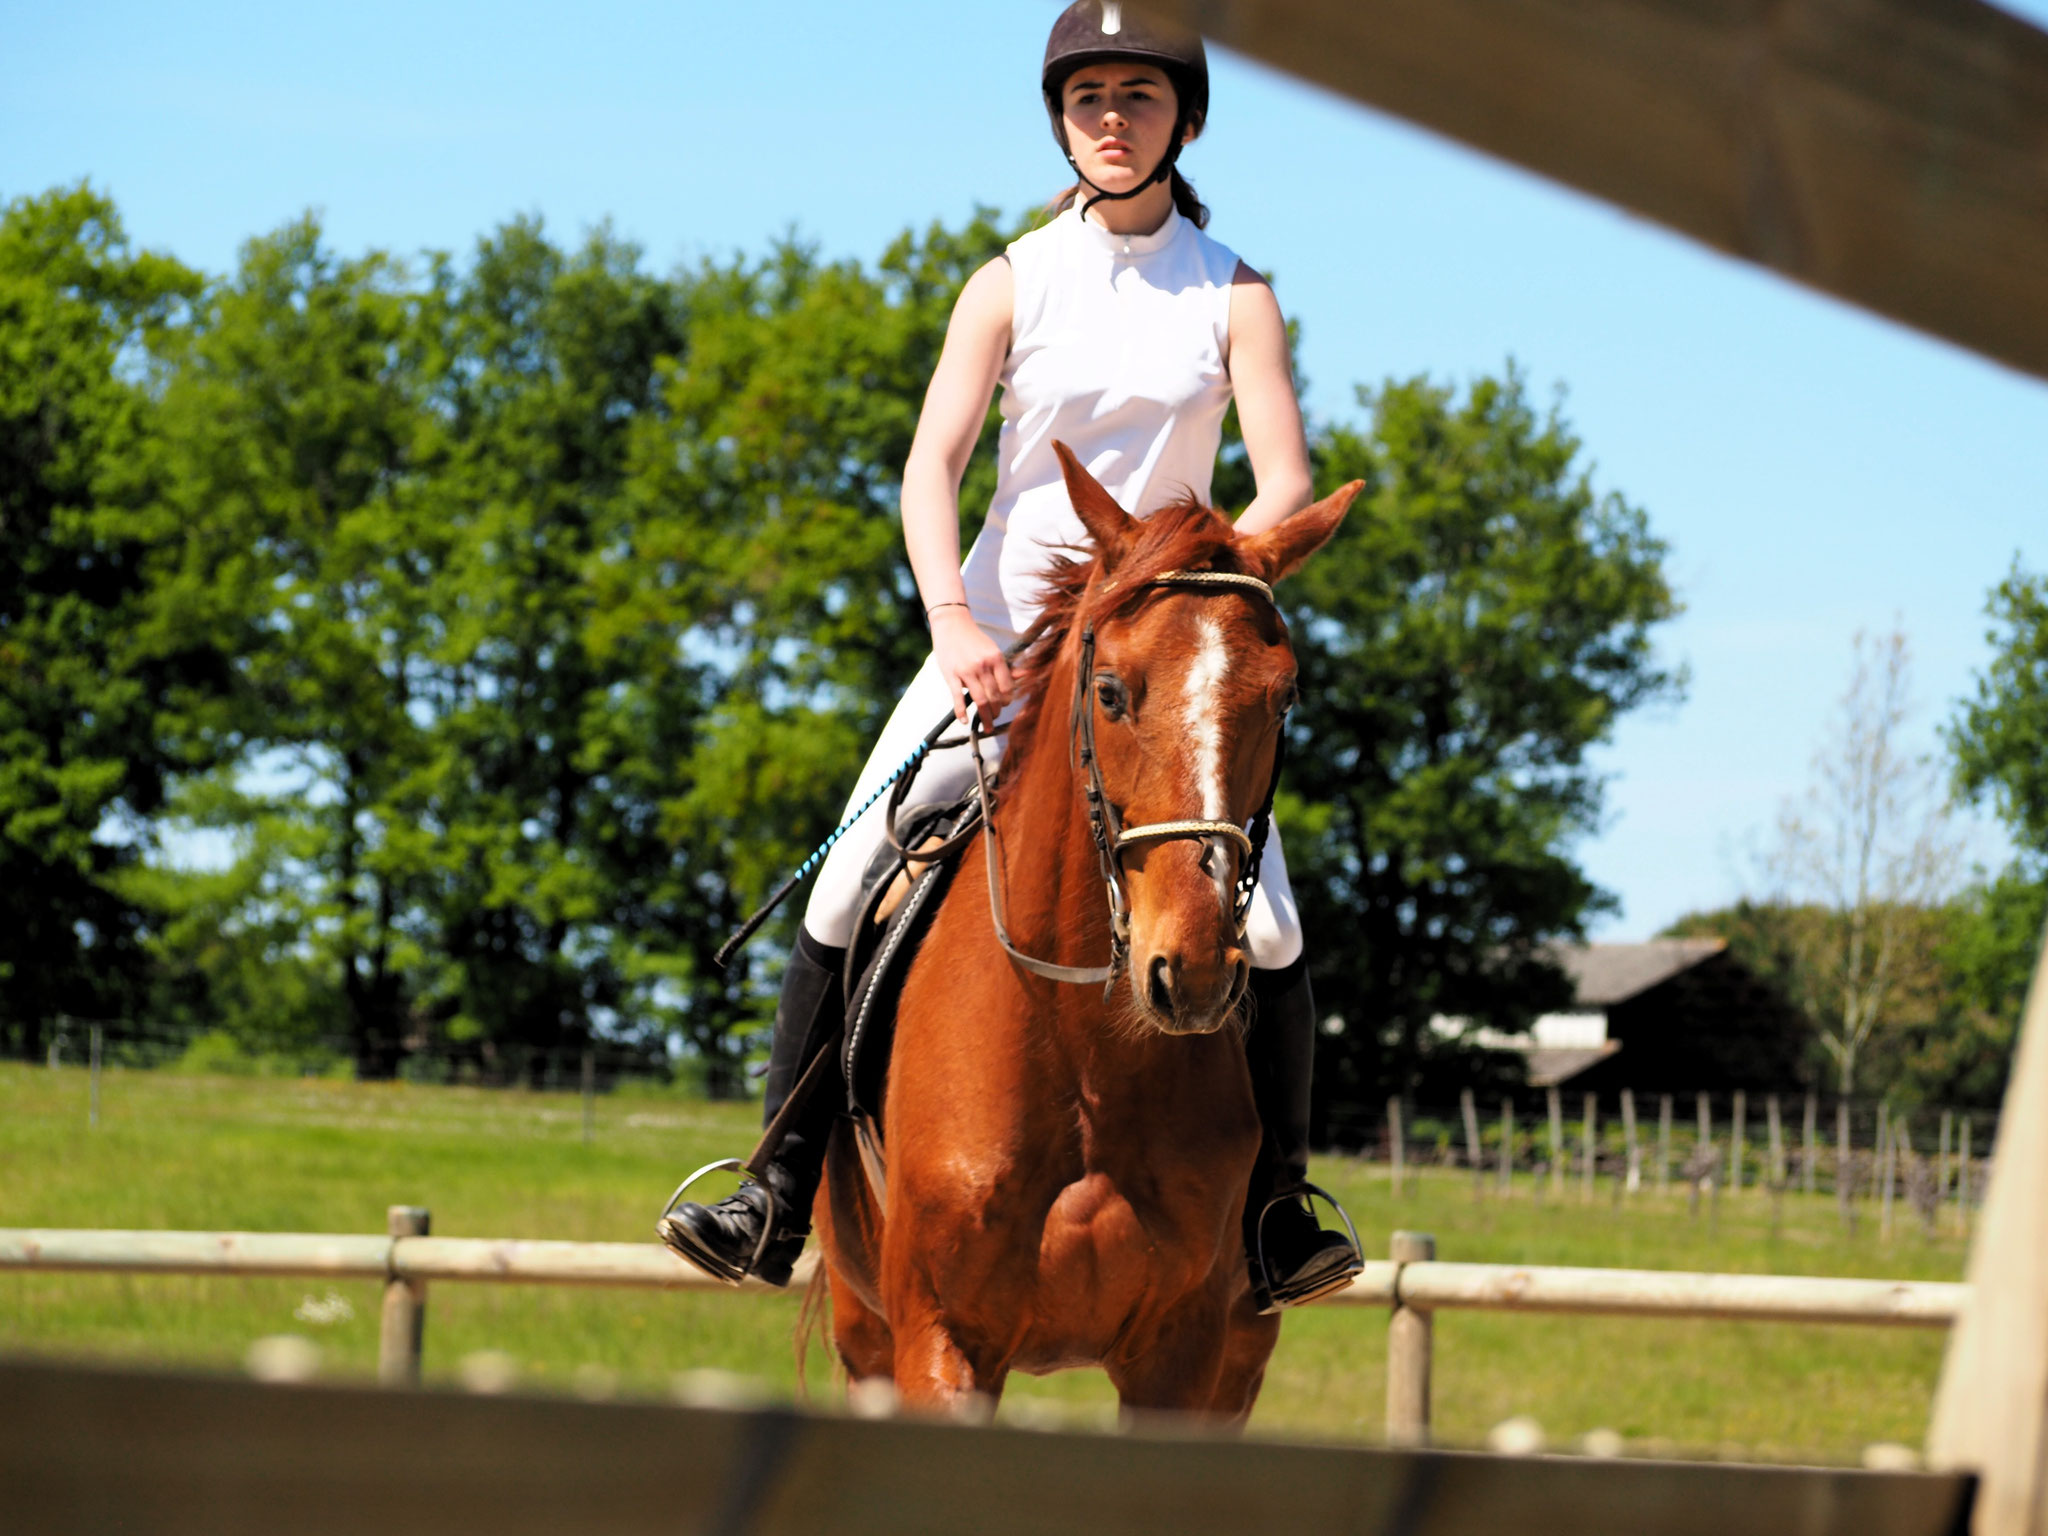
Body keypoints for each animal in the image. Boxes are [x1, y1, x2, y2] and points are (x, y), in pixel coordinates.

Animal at [815, 448, 1359, 1433]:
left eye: (1284, 697)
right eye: (1111, 693)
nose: (1190, 971)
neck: (1083, 1052)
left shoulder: (1182, 1357)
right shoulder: (941, 1341)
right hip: (863, 1329)